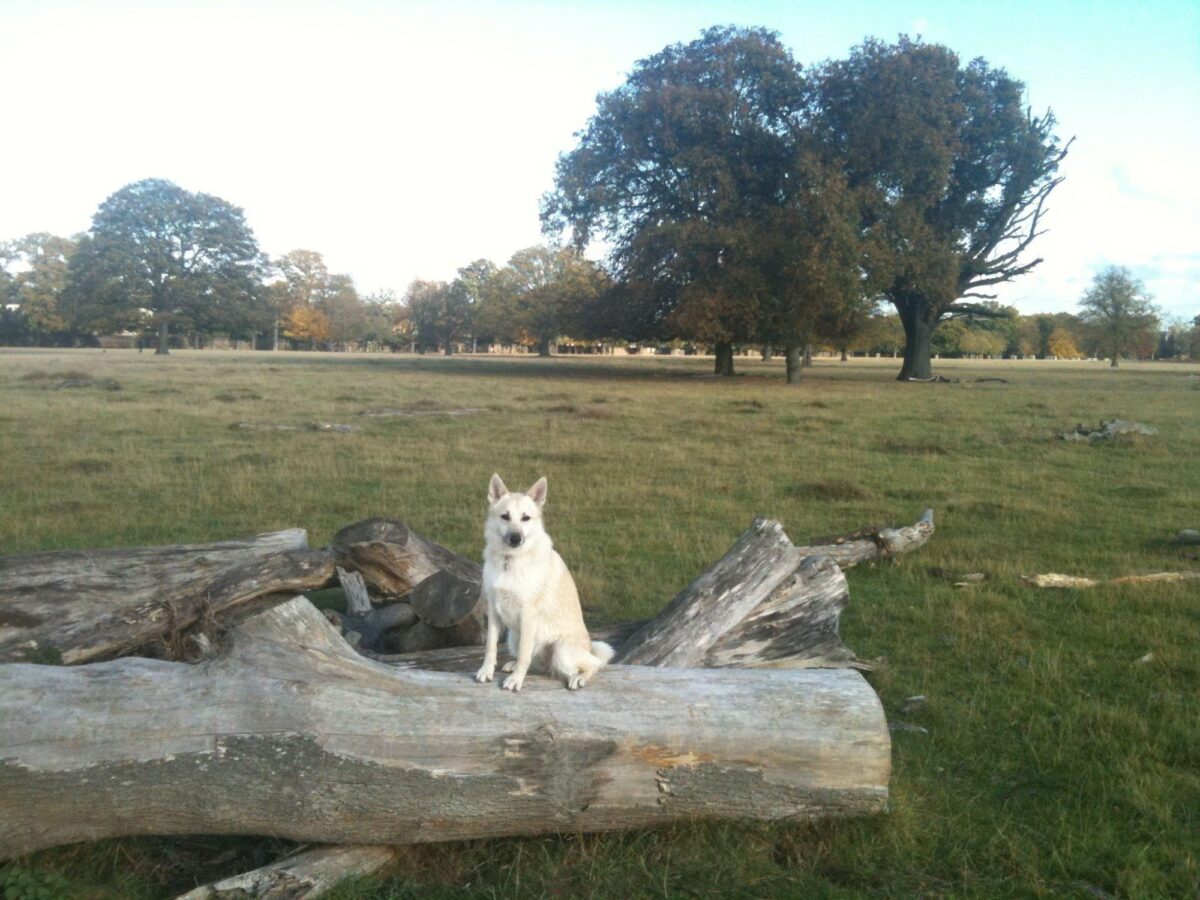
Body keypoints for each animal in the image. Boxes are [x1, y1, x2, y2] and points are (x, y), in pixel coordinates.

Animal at [472, 475, 614, 696]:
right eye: (505, 516)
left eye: (526, 518)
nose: (516, 538)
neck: (509, 560)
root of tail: (588, 647)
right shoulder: (494, 611)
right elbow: (490, 647)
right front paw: (486, 671)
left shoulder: (528, 615)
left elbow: (524, 654)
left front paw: (516, 681)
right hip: (513, 636)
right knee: (535, 660)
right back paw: (514, 664)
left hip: (561, 652)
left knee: (594, 664)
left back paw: (579, 678)